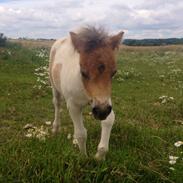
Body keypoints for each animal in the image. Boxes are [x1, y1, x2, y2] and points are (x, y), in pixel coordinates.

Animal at [49, 26, 123, 160]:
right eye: (83, 72)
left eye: (114, 72)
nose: (101, 112)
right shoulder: (73, 105)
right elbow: (81, 133)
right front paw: (83, 157)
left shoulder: (104, 100)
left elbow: (109, 120)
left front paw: (99, 157)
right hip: (54, 85)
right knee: (57, 103)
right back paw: (55, 128)